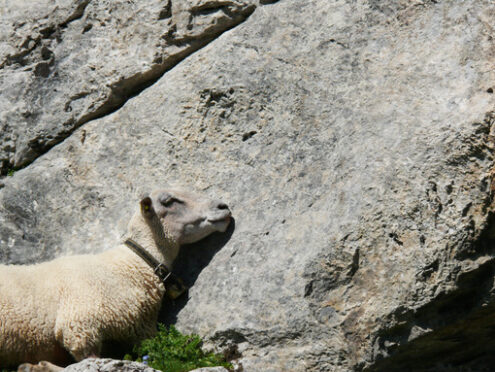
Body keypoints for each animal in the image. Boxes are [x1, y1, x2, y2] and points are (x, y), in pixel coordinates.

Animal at [0, 189, 232, 372]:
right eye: (169, 201)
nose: (223, 207)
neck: (131, 264)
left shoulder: (138, 330)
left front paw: (37, 366)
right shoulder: (80, 324)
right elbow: (89, 362)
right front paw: (39, 367)